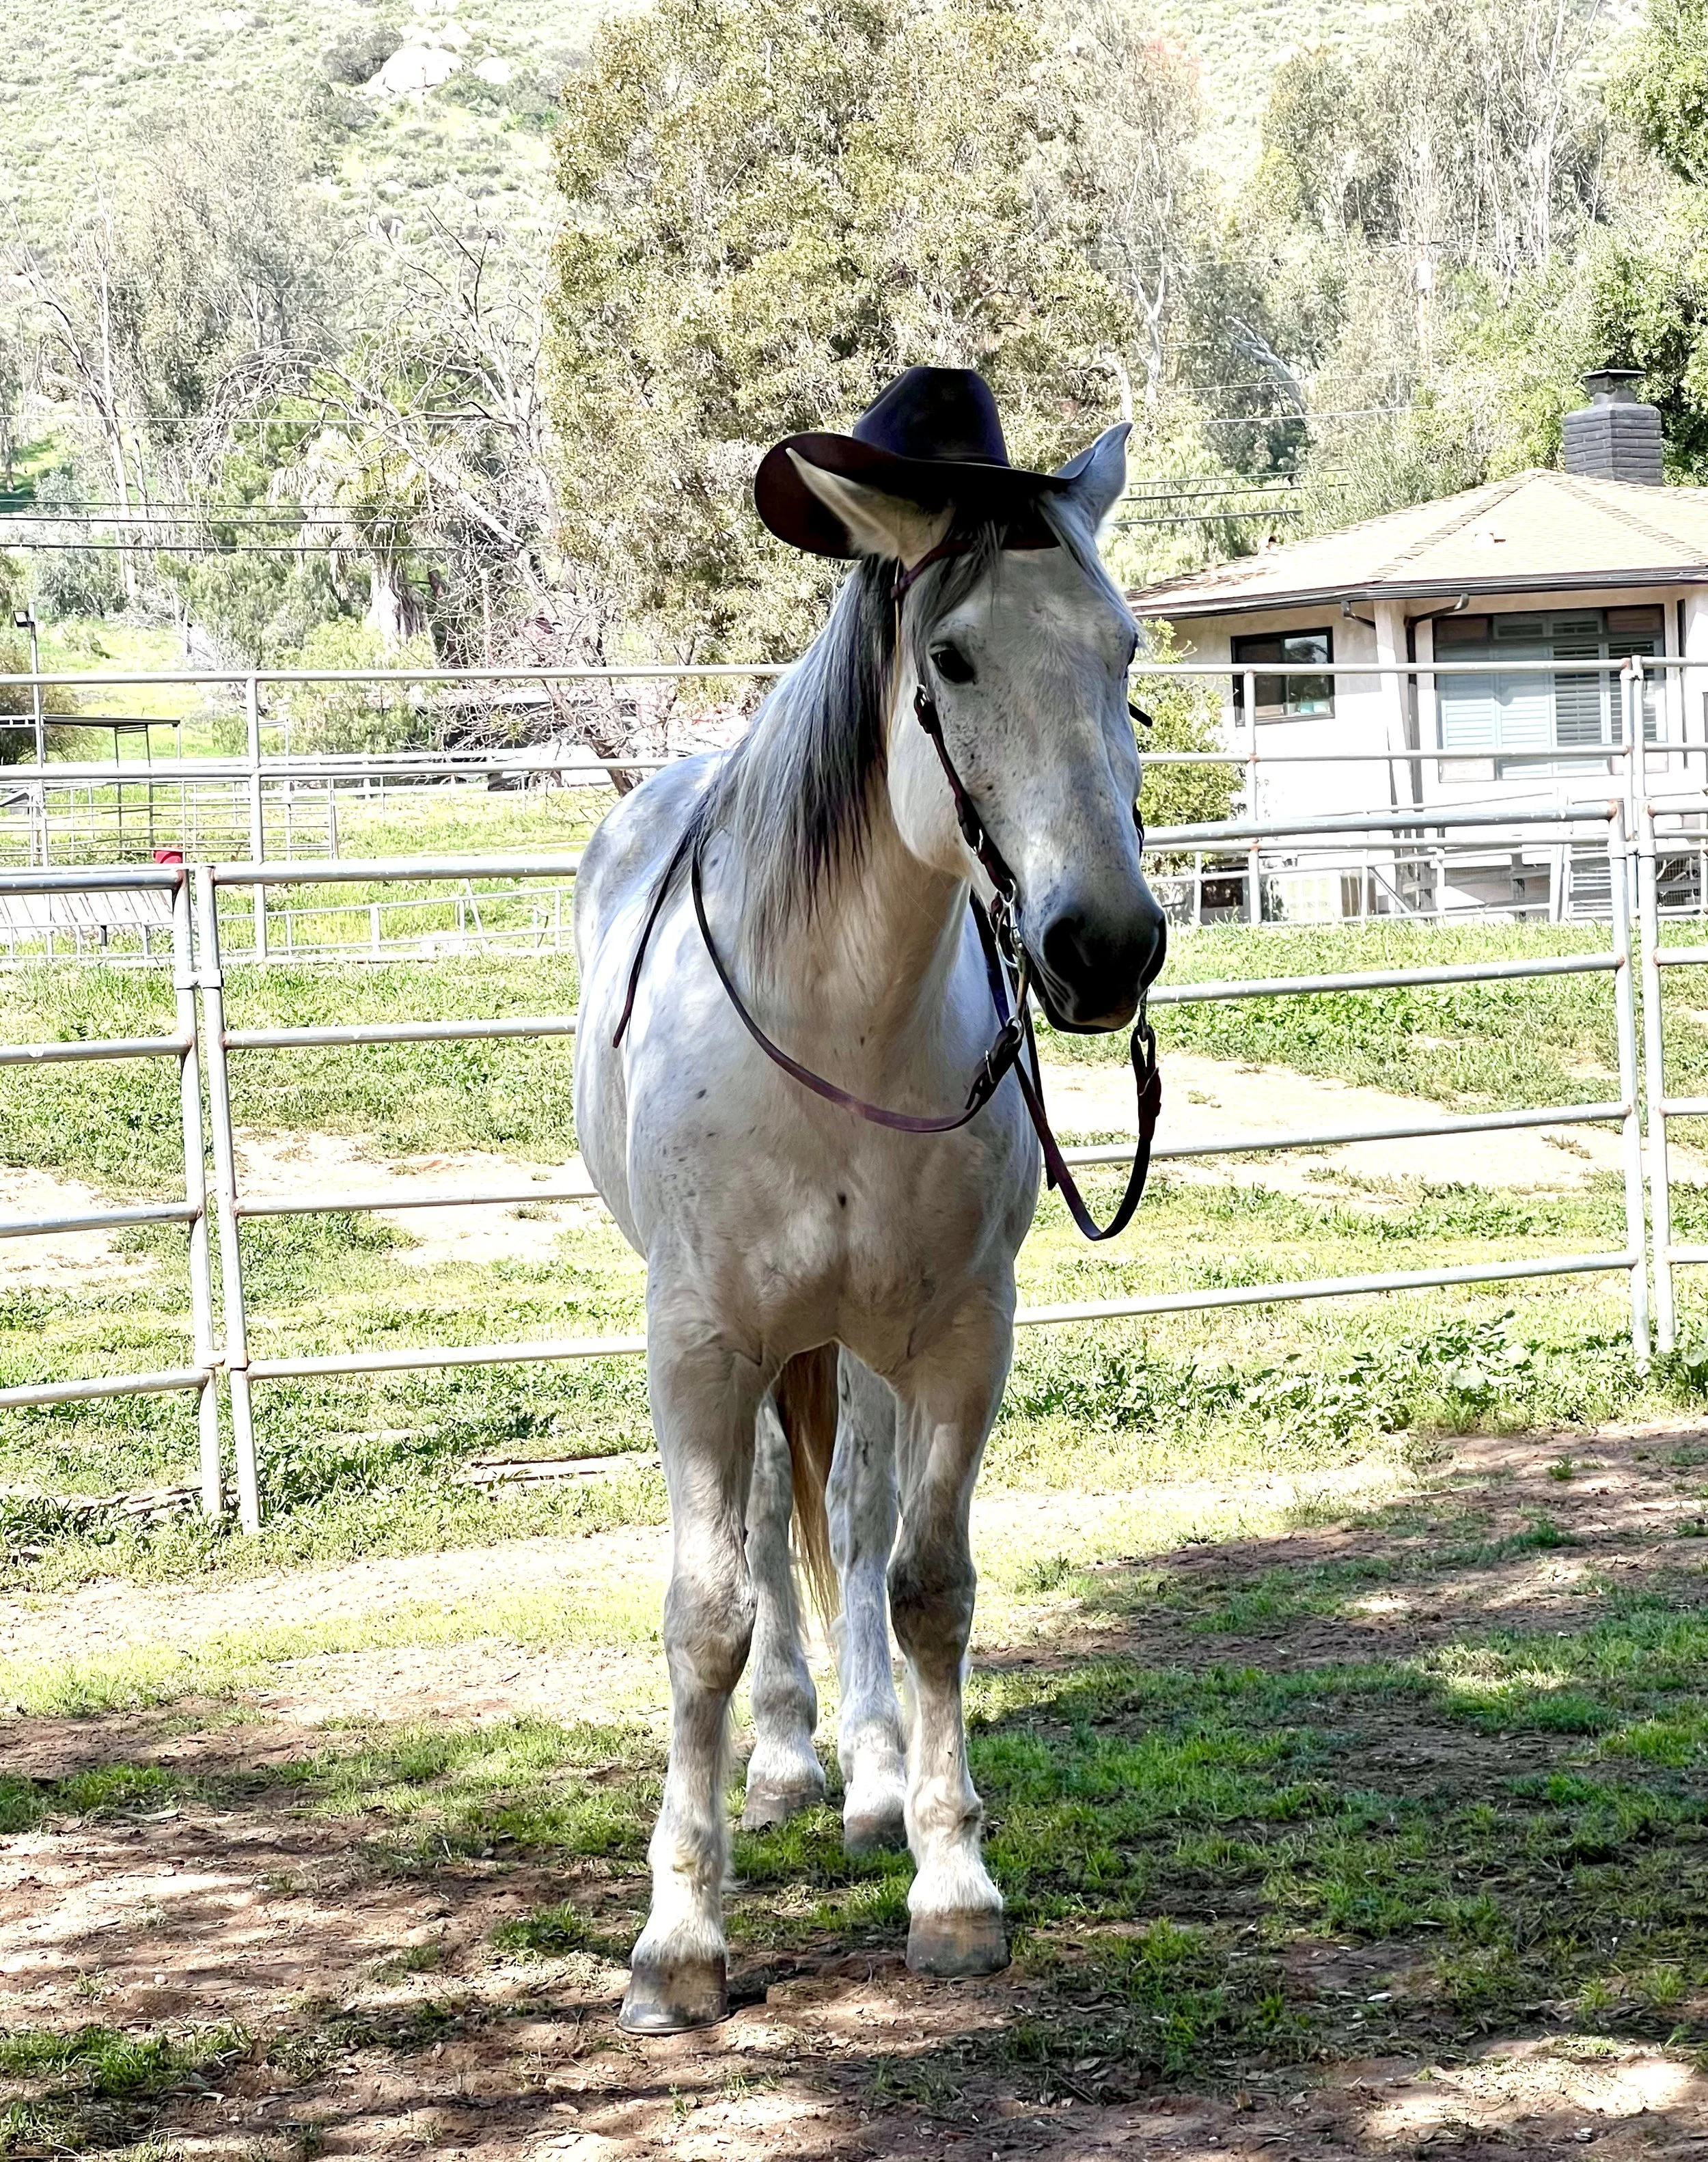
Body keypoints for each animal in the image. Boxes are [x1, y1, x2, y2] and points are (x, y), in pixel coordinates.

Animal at [573, 406, 1166, 2033]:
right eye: (948, 658)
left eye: (1123, 649)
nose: (1106, 944)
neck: (838, 1020)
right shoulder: (699, 1345)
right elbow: (706, 1611)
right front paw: (679, 1935)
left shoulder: (958, 1338)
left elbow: (924, 1584)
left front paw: (948, 1876)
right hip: (770, 1348)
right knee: (776, 1533)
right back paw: (783, 1760)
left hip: (866, 1350)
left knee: (846, 1508)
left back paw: (871, 1776)